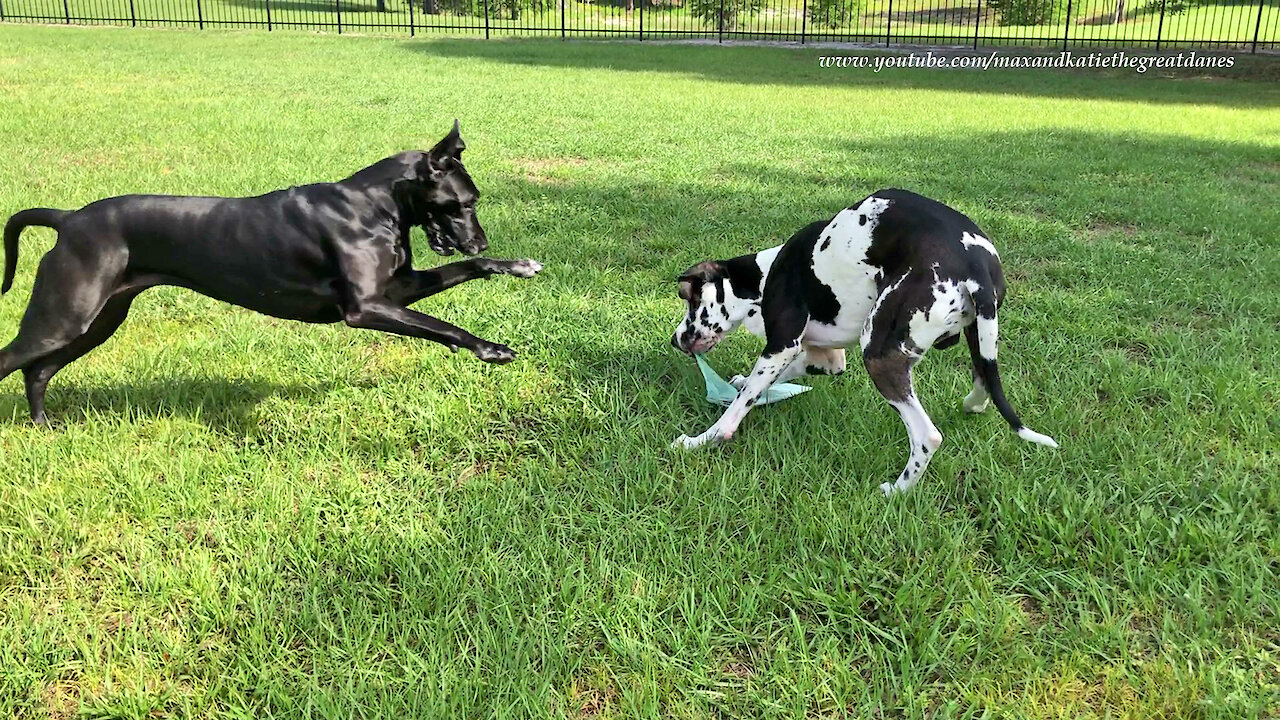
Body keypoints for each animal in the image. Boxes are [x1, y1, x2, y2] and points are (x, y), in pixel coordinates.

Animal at [1, 117, 540, 420]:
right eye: (465, 202)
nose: (480, 237)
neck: (375, 204)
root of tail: (69, 219)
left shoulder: (397, 290)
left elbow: (467, 271)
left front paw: (513, 264)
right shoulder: (365, 308)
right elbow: (442, 325)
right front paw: (489, 348)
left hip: (98, 320)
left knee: (38, 371)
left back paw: (44, 425)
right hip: (63, 317)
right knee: (19, 360)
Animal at [670, 185, 1059, 491]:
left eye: (690, 300)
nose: (675, 340)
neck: (765, 276)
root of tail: (974, 263)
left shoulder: (780, 347)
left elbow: (739, 405)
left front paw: (699, 440)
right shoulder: (823, 358)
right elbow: (768, 380)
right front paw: (741, 383)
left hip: (879, 355)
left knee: (927, 436)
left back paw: (897, 491)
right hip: (979, 335)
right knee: (982, 383)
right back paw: (971, 404)